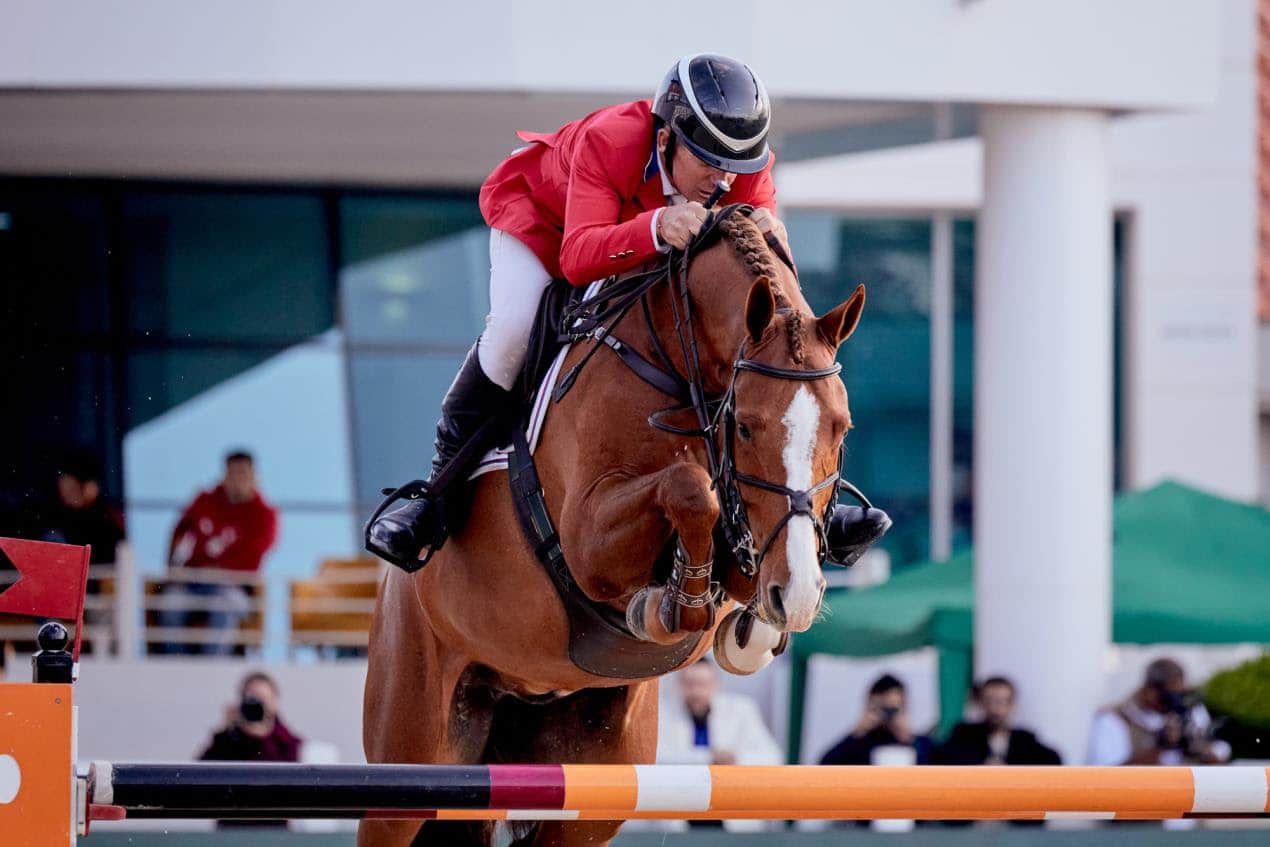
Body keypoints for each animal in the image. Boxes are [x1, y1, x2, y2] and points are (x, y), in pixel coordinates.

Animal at [363, 212, 868, 847]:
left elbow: (722, 527)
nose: (798, 594)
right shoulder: (586, 540)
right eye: (747, 427)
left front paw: (746, 624)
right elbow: (689, 487)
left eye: (842, 428)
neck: (680, 367)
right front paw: (674, 602)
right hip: (405, 763)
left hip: (593, 784)